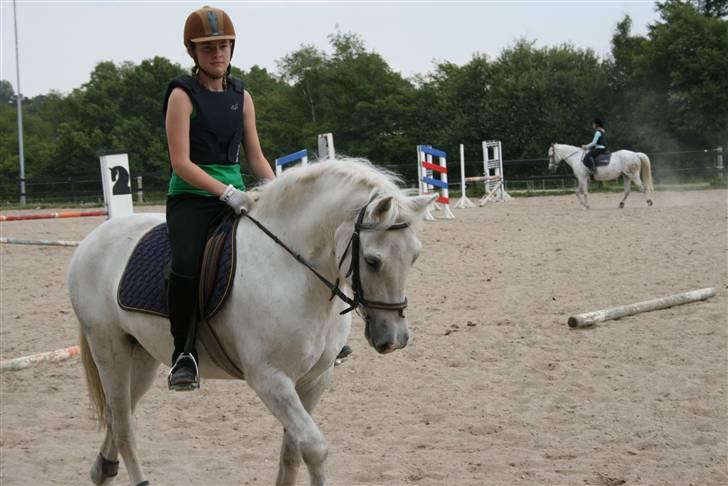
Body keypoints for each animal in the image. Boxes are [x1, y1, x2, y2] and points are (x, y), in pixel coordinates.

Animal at [68, 159, 436, 486]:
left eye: (415, 257)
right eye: (373, 261)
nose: (394, 339)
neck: (293, 271)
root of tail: (93, 239)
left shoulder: (314, 381)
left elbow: (292, 451)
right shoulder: (271, 380)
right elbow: (314, 448)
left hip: (142, 358)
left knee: (119, 414)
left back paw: (102, 471)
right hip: (110, 351)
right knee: (124, 425)